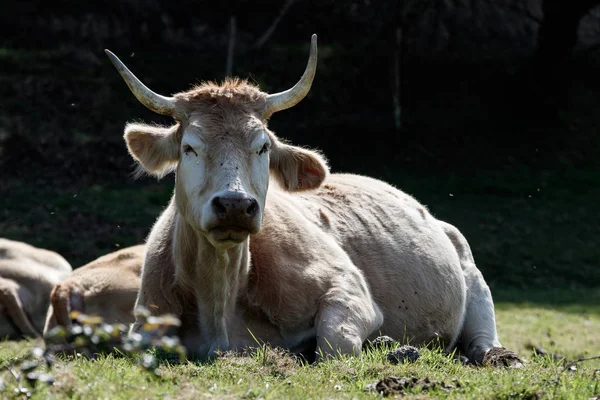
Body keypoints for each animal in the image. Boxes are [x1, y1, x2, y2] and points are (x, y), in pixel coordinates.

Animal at [105, 34, 516, 366]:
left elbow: (334, 346)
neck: (219, 298)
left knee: (483, 339)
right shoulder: (146, 318)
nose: (235, 204)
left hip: (476, 285)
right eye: (189, 147)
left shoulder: (350, 291)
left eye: (263, 147)